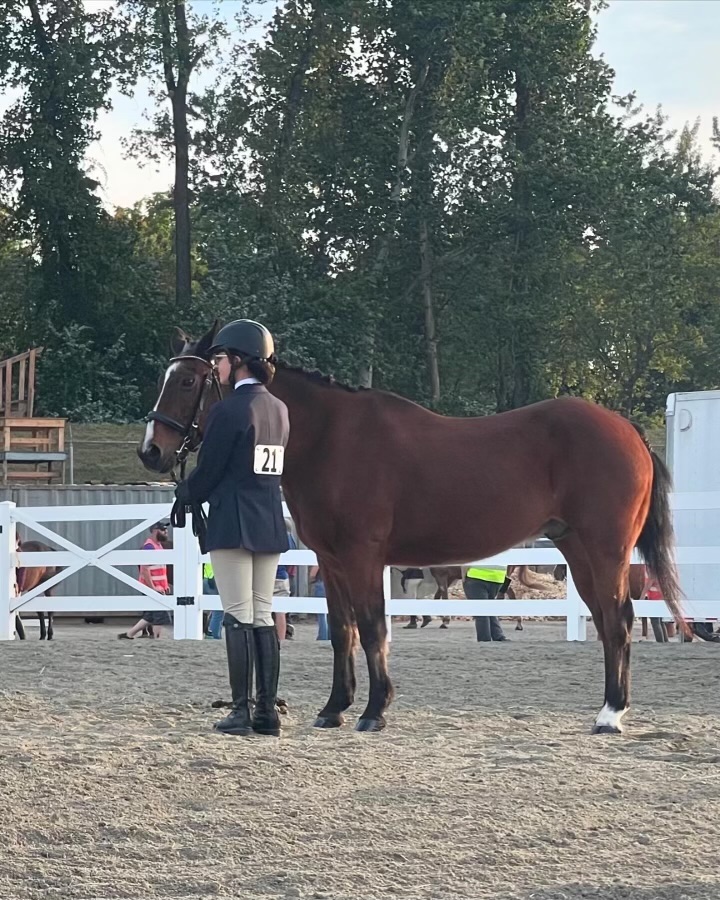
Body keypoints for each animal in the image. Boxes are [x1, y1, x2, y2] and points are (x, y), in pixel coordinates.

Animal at [138, 326, 684, 736]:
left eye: (187, 381)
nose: (152, 451)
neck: (328, 438)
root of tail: (626, 428)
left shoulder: (362, 556)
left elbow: (372, 627)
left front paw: (374, 711)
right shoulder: (332, 561)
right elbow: (343, 631)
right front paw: (334, 709)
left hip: (605, 550)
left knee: (618, 620)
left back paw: (611, 715)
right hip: (577, 550)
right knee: (609, 621)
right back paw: (611, 709)